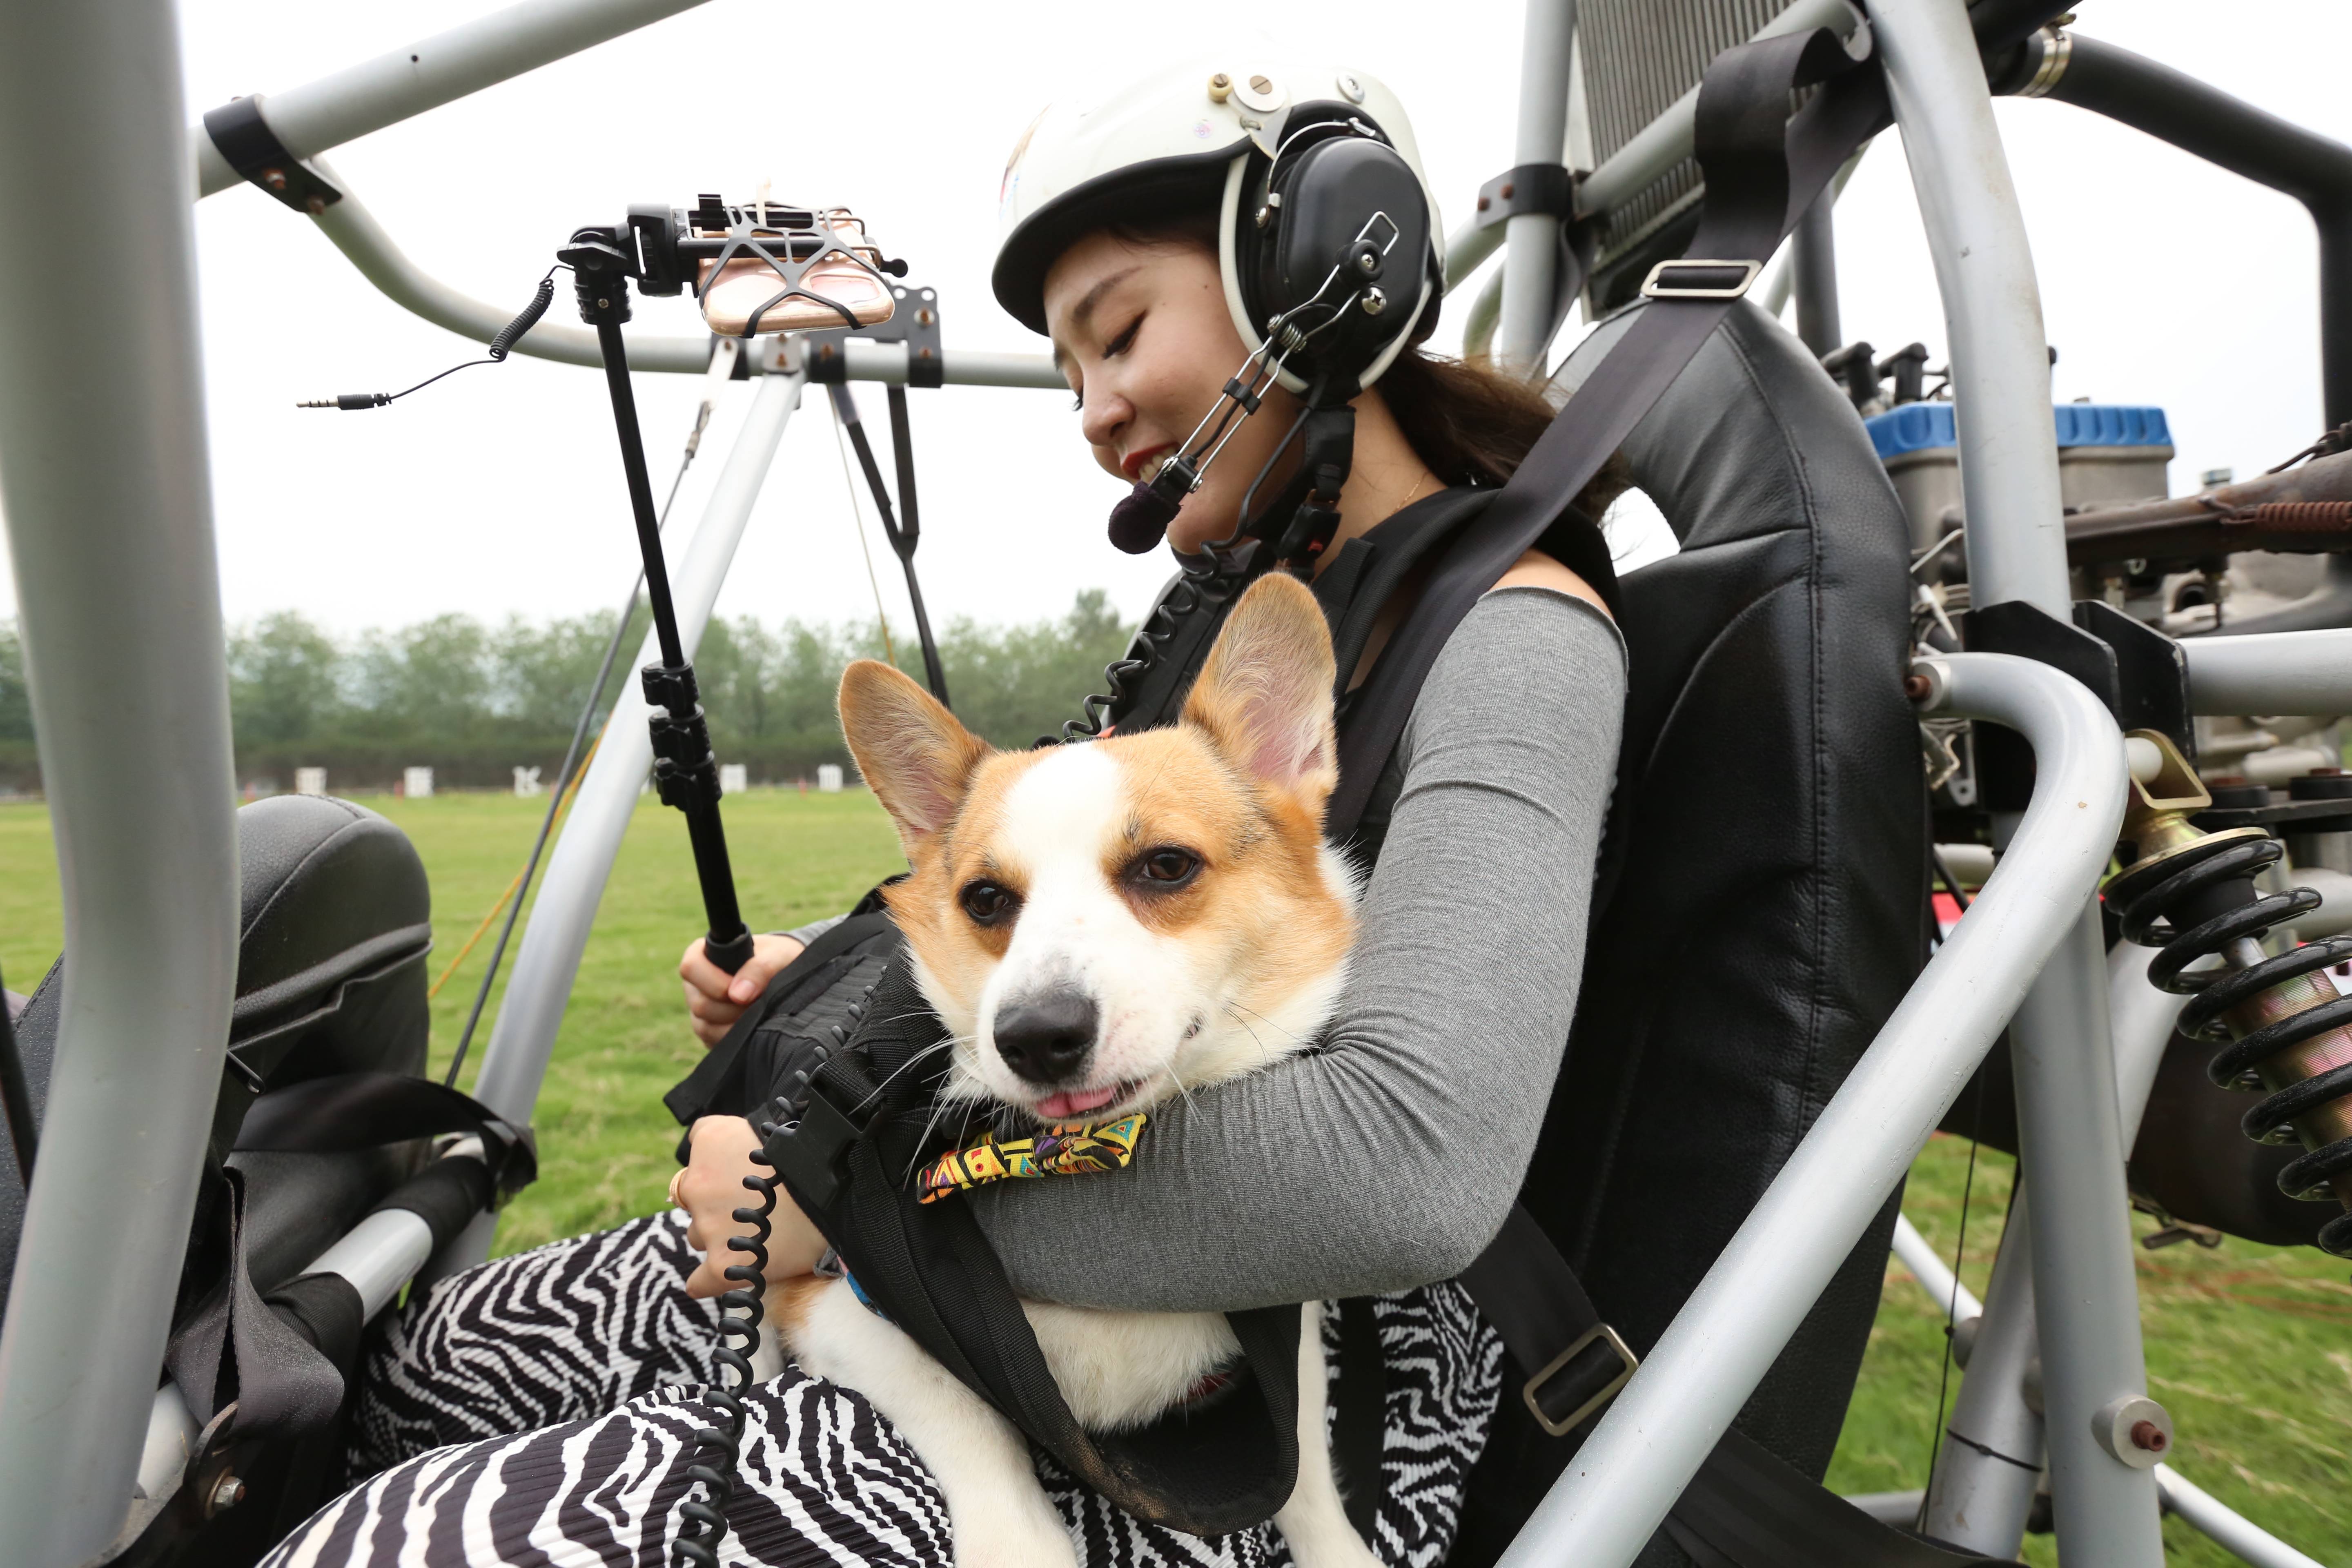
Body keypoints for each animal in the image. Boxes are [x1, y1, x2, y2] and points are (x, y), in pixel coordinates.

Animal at [781, 581, 1373, 1568]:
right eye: (986, 900)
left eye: (1166, 866)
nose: (1036, 1037)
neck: (1079, 1158)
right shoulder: (838, 1310)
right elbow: (965, 1411)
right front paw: (1017, 1542)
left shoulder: (1291, 1333)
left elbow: (1310, 1476)